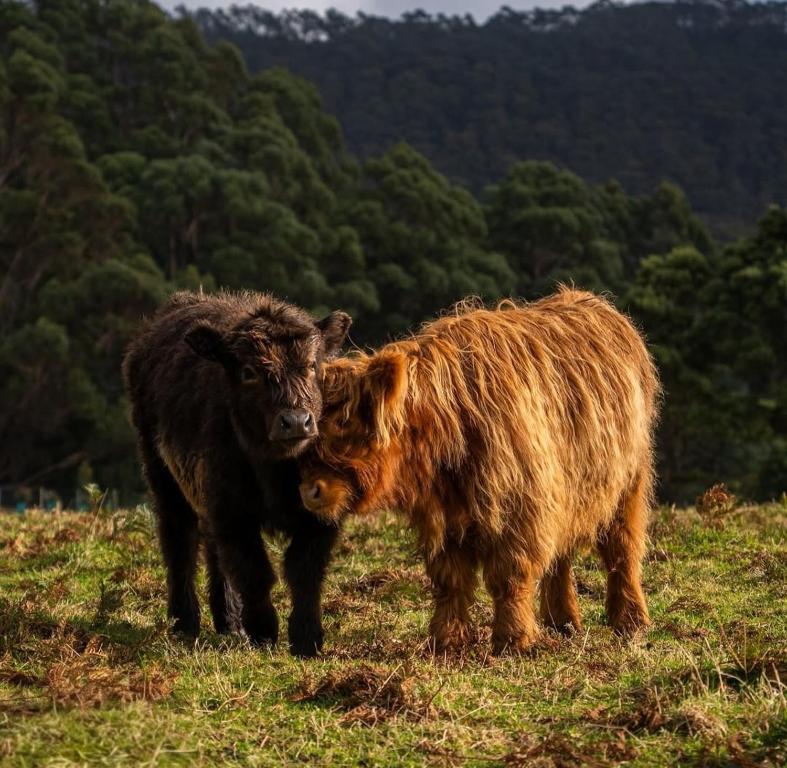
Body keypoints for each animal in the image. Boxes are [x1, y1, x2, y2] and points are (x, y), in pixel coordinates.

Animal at [123, 290, 351, 657]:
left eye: (312, 366)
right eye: (248, 372)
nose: (296, 421)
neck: (276, 472)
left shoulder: (321, 516)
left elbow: (304, 572)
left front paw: (307, 638)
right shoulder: (232, 511)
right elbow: (254, 571)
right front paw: (263, 631)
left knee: (213, 549)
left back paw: (228, 620)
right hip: (163, 477)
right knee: (179, 542)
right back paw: (185, 621)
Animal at [297, 289, 659, 653]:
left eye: (345, 424)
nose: (309, 490)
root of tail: (596, 303)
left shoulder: (520, 508)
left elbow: (509, 576)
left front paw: (513, 640)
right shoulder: (446, 516)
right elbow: (450, 581)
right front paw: (446, 641)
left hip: (628, 483)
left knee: (623, 551)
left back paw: (631, 623)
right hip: (570, 489)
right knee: (562, 556)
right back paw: (562, 622)